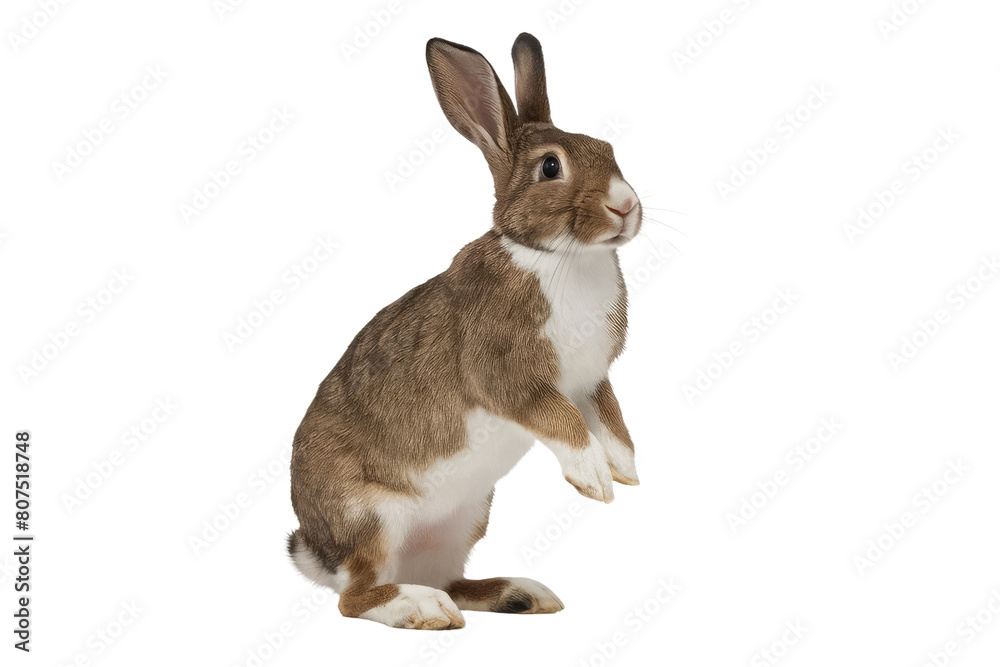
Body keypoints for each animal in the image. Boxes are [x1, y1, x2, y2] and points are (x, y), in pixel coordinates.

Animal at [288, 32, 642, 630]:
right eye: (551, 167)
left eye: (607, 147)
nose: (626, 206)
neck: (556, 254)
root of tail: (320, 551)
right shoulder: (510, 378)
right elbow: (565, 422)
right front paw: (592, 477)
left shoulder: (591, 380)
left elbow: (610, 419)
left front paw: (625, 470)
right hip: (372, 518)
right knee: (354, 598)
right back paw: (421, 607)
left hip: (468, 518)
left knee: (450, 580)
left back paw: (520, 595)